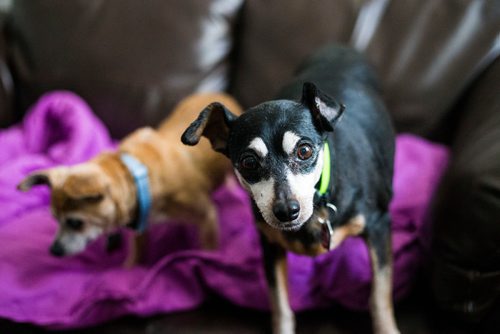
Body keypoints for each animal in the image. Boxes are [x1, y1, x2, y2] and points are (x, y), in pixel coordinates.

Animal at [16, 92, 241, 264]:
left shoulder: (207, 216)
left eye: (75, 223)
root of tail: (220, 94)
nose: (53, 251)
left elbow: (209, 248)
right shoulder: (141, 224)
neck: (136, 175)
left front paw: (208, 258)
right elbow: (138, 252)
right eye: (55, 219)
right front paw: (131, 268)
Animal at [183, 45, 398, 334]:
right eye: (248, 162)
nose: (286, 211)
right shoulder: (270, 246)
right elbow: (280, 304)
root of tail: (340, 48)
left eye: (304, 150)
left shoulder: (379, 226)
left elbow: (379, 295)